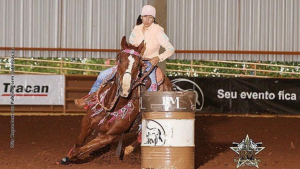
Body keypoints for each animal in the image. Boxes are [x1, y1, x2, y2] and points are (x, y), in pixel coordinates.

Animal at [58, 36, 172, 165]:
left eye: (138, 64)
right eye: (120, 59)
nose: (125, 89)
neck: (113, 107)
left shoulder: (110, 136)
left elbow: (81, 149)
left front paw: (69, 157)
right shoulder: (87, 122)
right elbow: (79, 143)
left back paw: (127, 149)